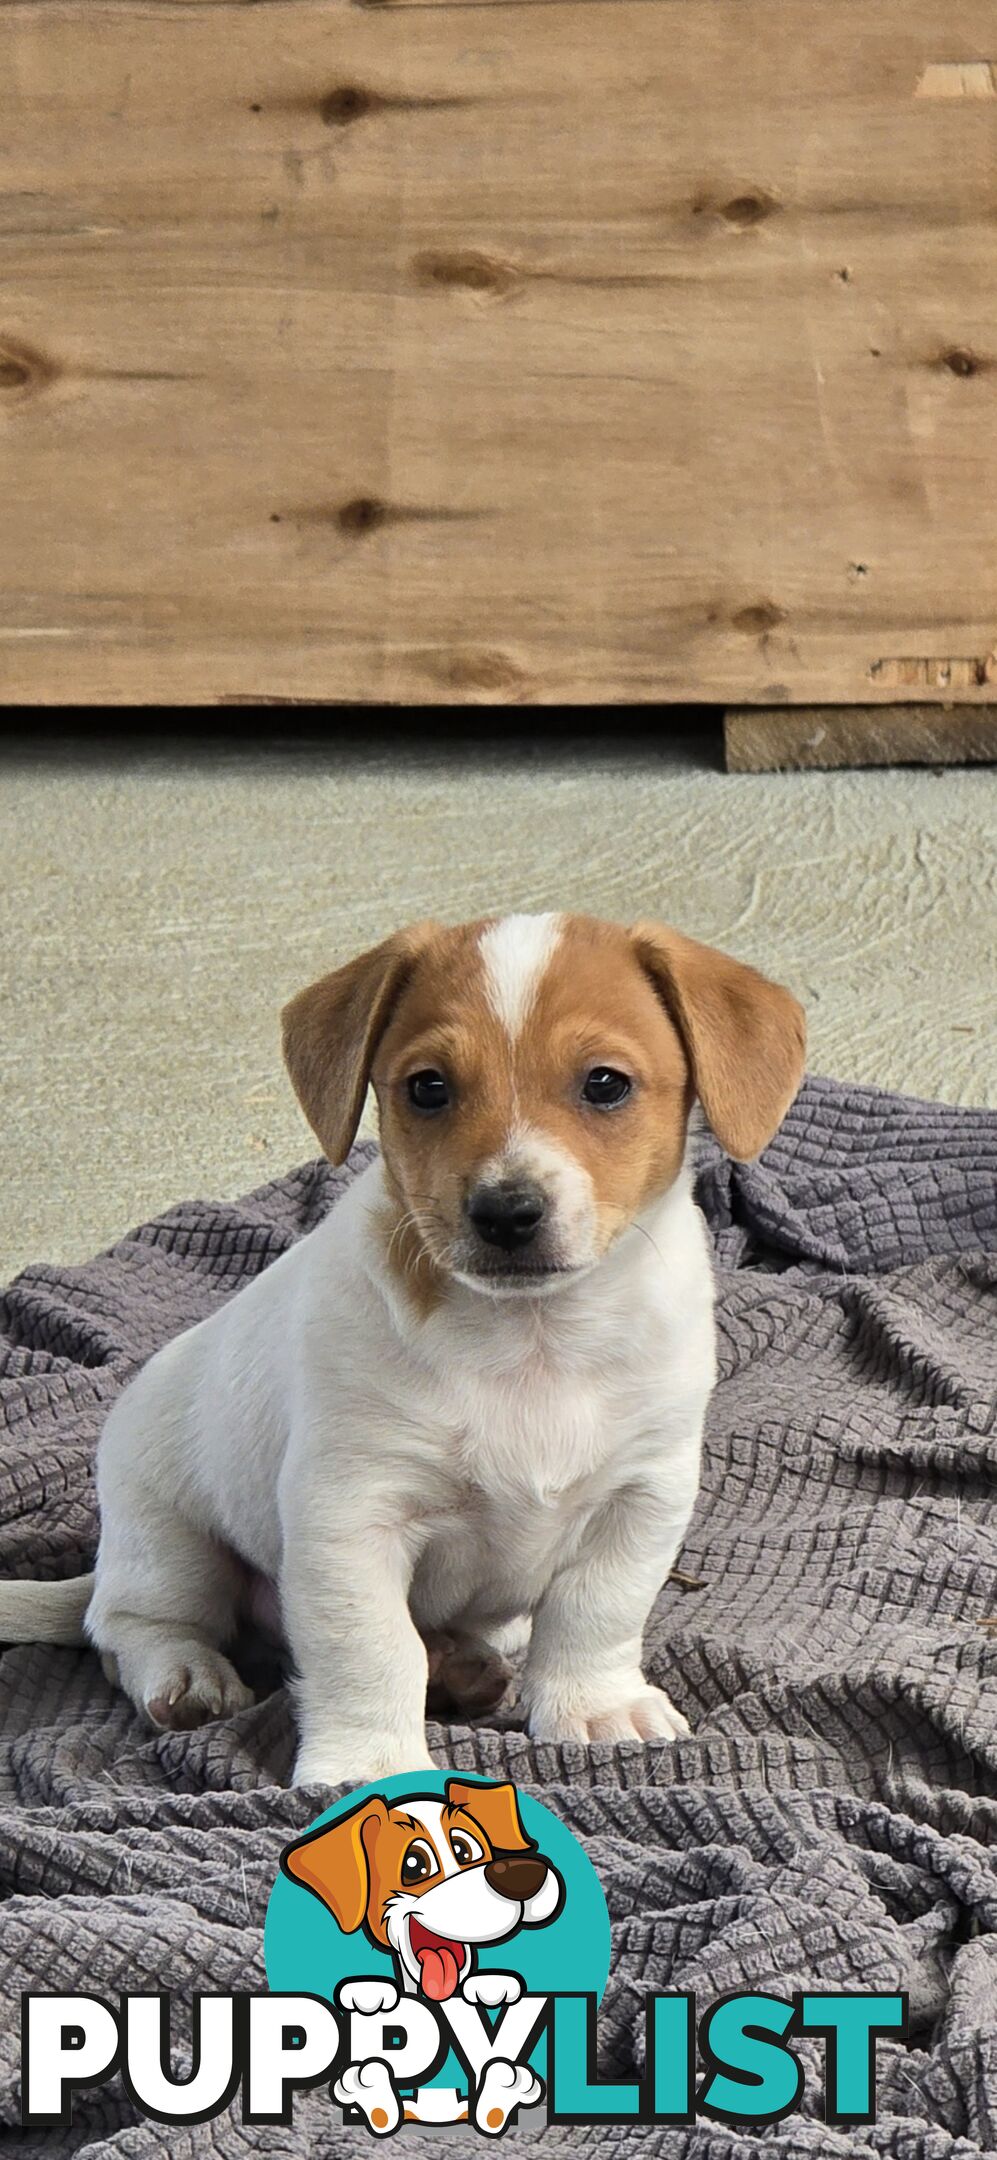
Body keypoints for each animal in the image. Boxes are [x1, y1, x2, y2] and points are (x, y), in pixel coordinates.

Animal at [0, 911, 802, 1788]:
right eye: (427, 1087)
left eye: (604, 1084)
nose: (506, 1212)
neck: (532, 1339)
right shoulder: (350, 1516)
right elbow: (371, 1650)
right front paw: (372, 1766)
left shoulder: (642, 1495)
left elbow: (596, 1610)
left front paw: (596, 1706)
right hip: (168, 1539)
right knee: (128, 1626)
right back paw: (186, 1672)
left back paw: (468, 1660)